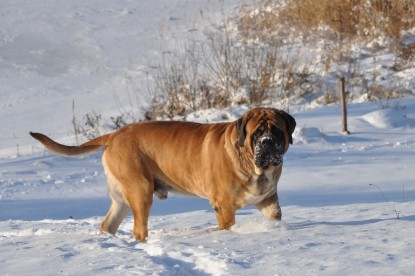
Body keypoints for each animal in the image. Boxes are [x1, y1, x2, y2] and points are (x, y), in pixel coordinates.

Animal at [30, 108, 296, 242]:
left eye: (277, 131)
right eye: (256, 133)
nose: (267, 142)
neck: (255, 168)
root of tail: (114, 134)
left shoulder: (269, 200)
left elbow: (274, 216)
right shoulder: (224, 205)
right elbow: (227, 226)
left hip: (121, 198)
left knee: (108, 224)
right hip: (140, 190)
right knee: (139, 229)